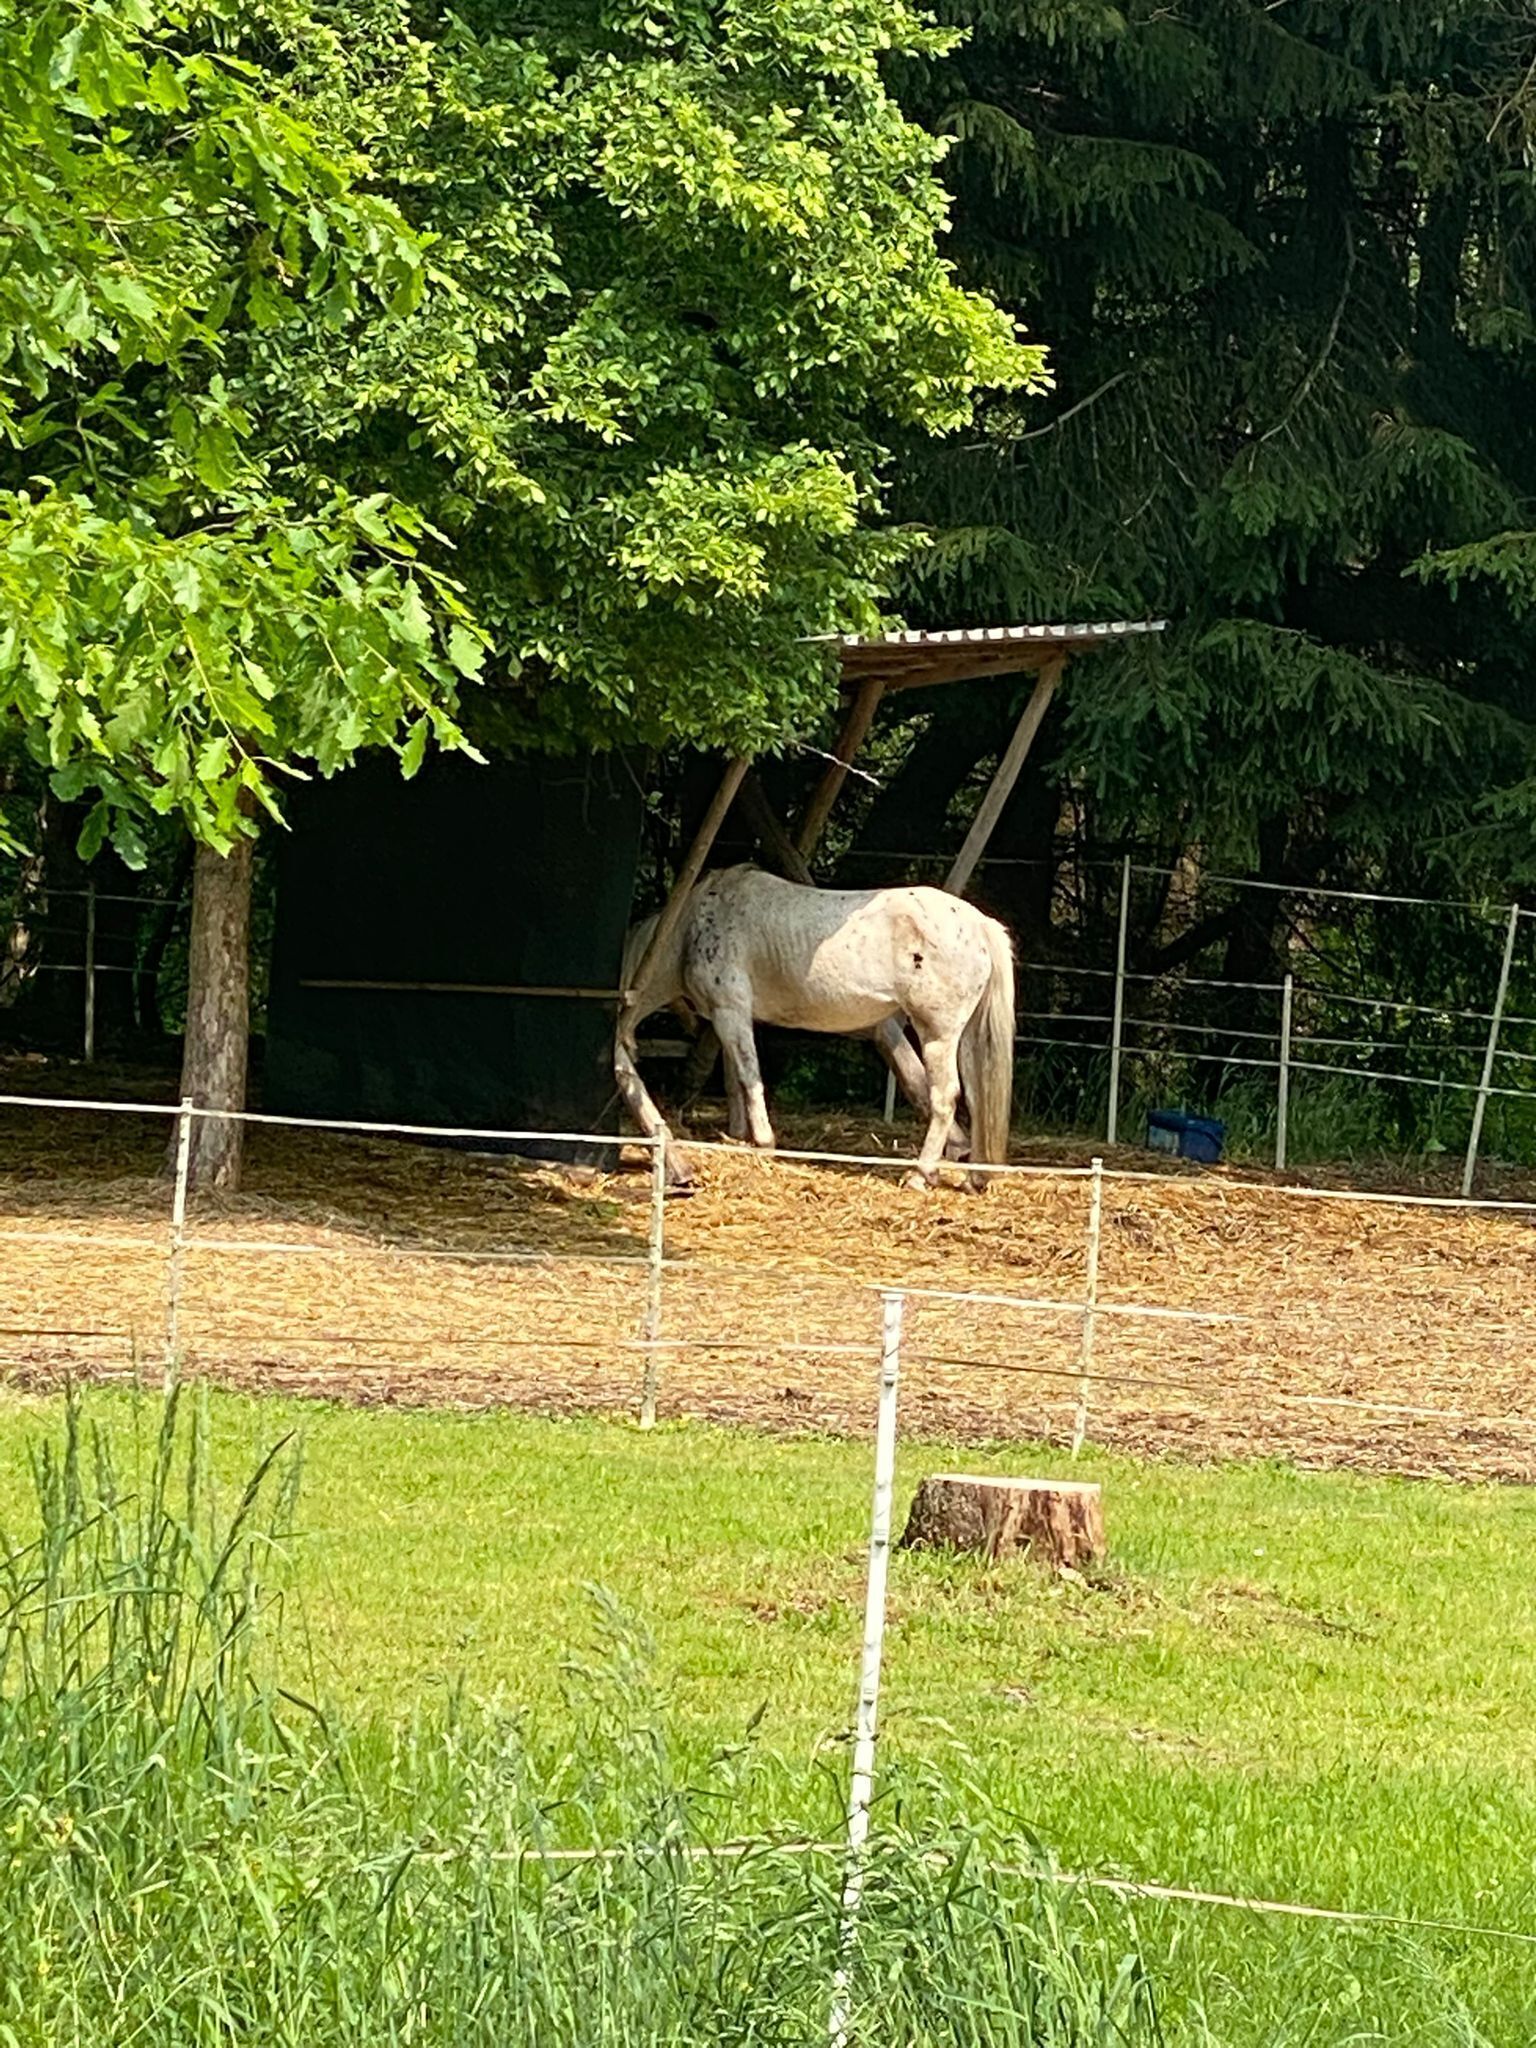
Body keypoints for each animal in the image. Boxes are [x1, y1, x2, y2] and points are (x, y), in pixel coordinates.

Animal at [614, 866, 1015, 1190]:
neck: (691, 929)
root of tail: (979, 924)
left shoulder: (731, 1013)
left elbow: (749, 1077)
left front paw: (763, 1143)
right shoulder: (727, 1017)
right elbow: (734, 1080)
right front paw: (739, 1137)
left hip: (937, 1034)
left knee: (945, 1098)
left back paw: (920, 1175)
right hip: (964, 1038)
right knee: (976, 1097)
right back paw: (974, 1178)